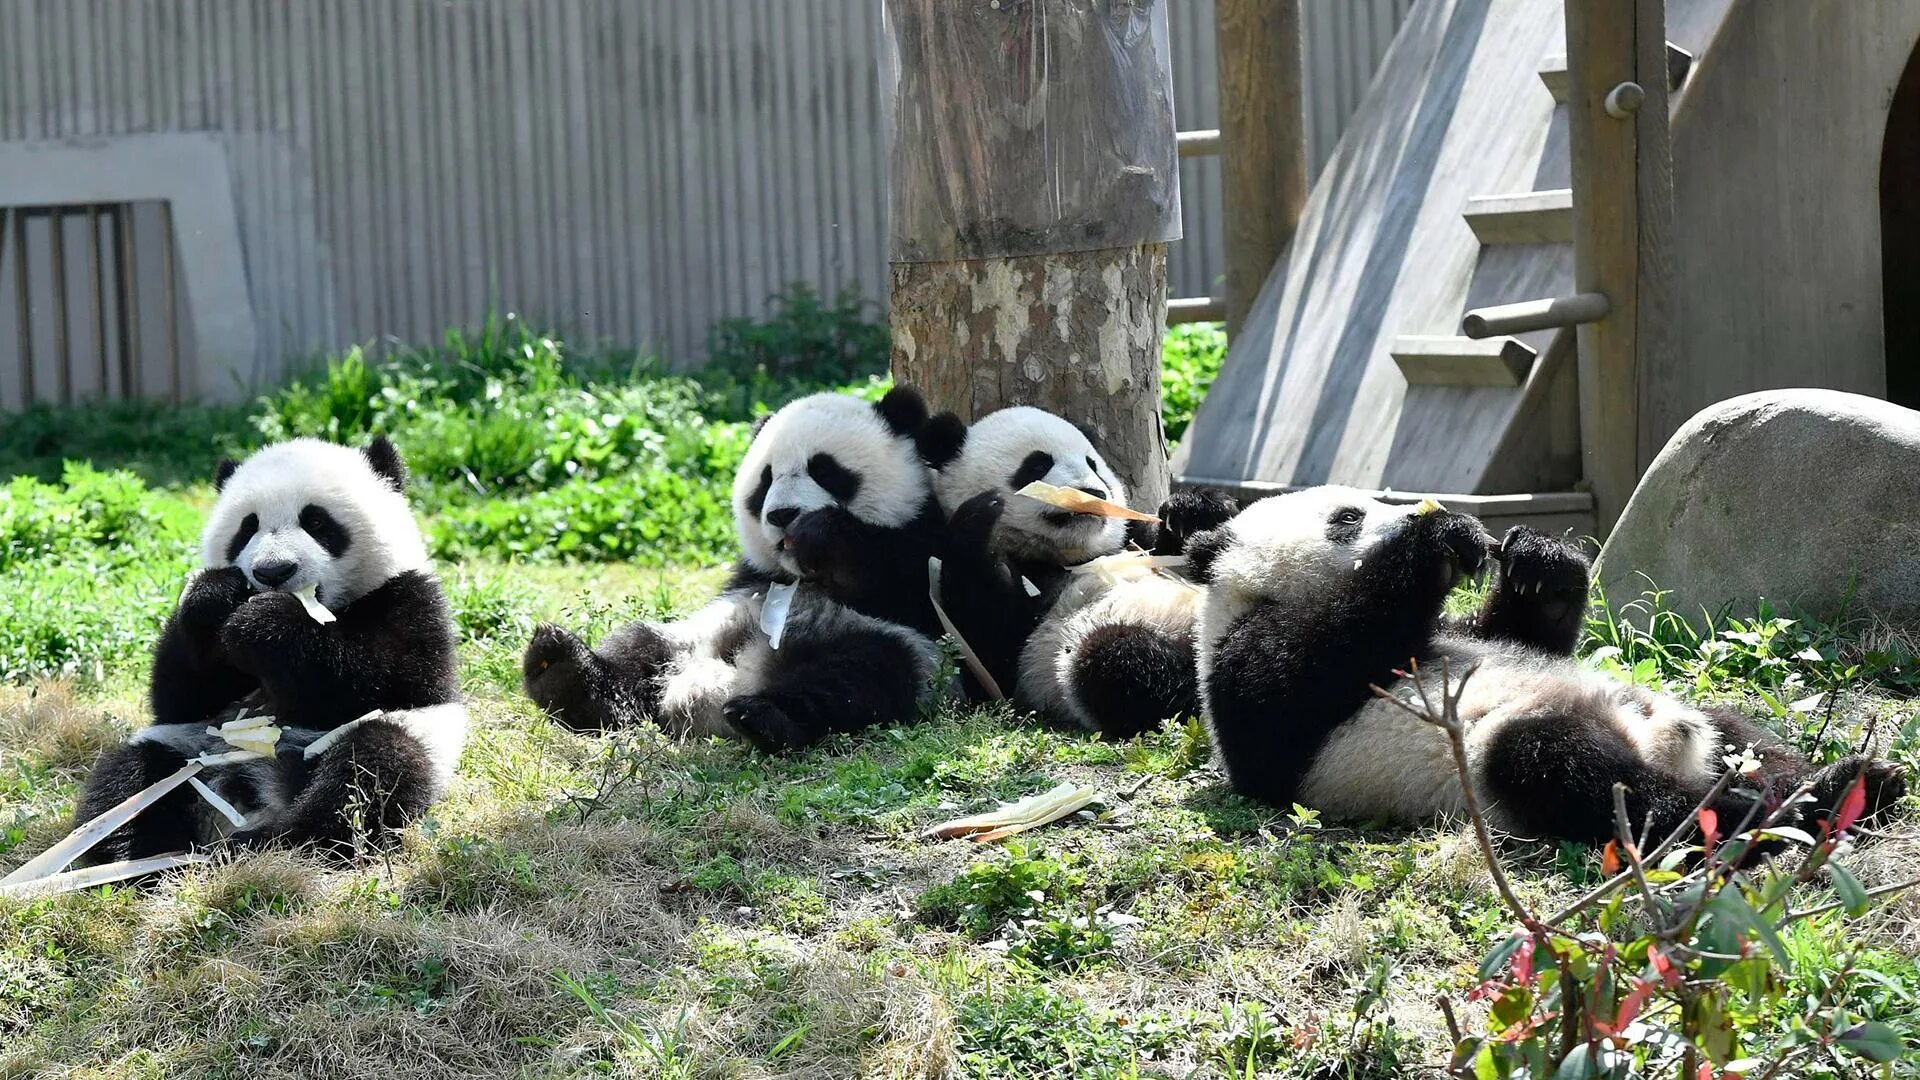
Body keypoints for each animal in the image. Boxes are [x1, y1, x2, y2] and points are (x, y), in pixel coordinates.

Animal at [73, 432, 468, 860]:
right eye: (247, 528)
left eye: (316, 521)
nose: (273, 571)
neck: (326, 609)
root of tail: (254, 799)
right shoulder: (191, 700)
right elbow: (180, 695)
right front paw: (216, 597)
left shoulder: (411, 599)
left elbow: (386, 676)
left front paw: (265, 623)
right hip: (189, 749)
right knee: (130, 779)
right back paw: (123, 853)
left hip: (402, 741)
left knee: (369, 772)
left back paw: (278, 841)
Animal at [522, 386, 948, 749]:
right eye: (765, 480)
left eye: (825, 470)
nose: (782, 515)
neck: (797, 575)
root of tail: (729, 684)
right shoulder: (750, 577)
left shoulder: (922, 547)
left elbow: (907, 585)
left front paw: (821, 535)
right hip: (687, 637)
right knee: (637, 652)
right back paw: (561, 669)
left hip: (876, 641)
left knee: (861, 674)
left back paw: (764, 717)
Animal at [921, 399, 1236, 734]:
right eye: (1036, 466)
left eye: (1093, 465)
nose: (1092, 493)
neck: (1069, 556)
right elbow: (991, 651)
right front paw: (979, 519)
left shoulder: (1130, 543)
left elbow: (1174, 550)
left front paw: (1194, 508)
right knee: (1116, 659)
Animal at [1182, 484, 1904, 845]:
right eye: (1348, 517)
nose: (1416, 508)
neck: (1254, 593)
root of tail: (1666, 744)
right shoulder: (1246, 681)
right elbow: (1303, 673)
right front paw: (1437, 540)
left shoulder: (1463, 631)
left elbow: (1520, 631)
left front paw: (1538, 561)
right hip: (1502, 758)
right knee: (1584, 776)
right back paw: (1771, 813)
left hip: (1692, 717)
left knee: (1741, 734)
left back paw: (1850, 781)